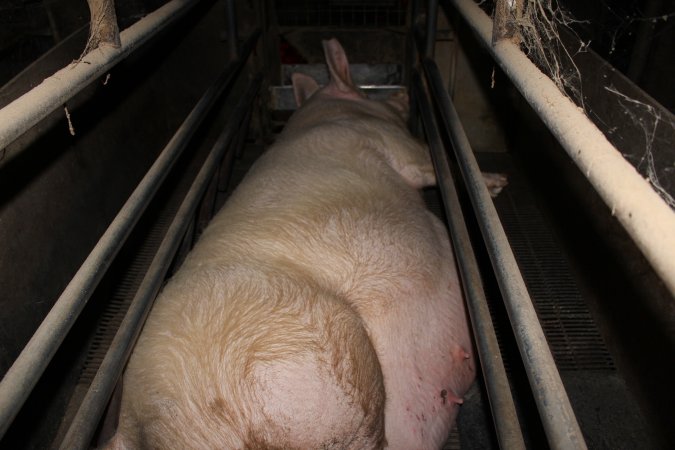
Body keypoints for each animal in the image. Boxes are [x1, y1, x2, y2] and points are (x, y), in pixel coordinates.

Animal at [104, 39, 476, 450]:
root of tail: (131, 423)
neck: (332, 111)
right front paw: (496, 181)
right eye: (364, 90)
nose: (406, 92)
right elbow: (428, 165)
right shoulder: (392, 142)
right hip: (316, 367)